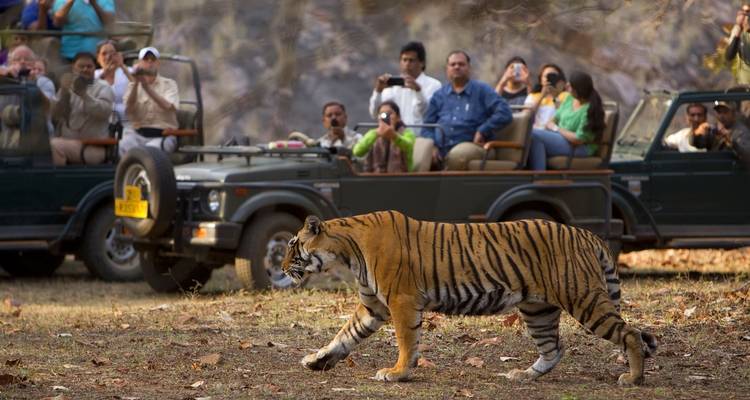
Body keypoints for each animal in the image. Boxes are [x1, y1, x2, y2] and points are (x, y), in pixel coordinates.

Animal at [281, 210, 657, 385]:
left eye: (292, 246)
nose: (283, 268)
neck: (347, 250)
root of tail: (587, 234)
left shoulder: (401, 301)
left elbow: (406, 341)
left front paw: (398, 372)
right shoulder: (373, 306)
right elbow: (344, 335)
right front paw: (316, 360)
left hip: (582, 297)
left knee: (630, 334)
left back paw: (633, 379)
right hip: (538, 309)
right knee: (554, 348)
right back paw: (523, 375)